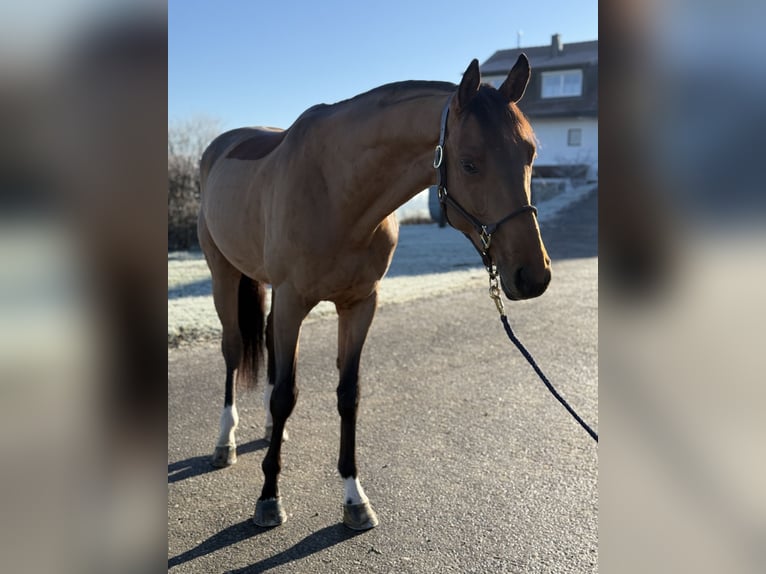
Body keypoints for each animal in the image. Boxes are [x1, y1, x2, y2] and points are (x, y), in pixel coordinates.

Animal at [198, 56, 552, 532]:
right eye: (470, 164)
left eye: (530, 154)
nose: (533, 276)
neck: (336, 190)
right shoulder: (293, 301)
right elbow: (286, 394)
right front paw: (269, 497)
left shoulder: (361, 304)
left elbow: (349, 395)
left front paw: (354, 498)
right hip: (224, 274)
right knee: (234, 350)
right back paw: (225, 442)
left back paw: (274, 431)